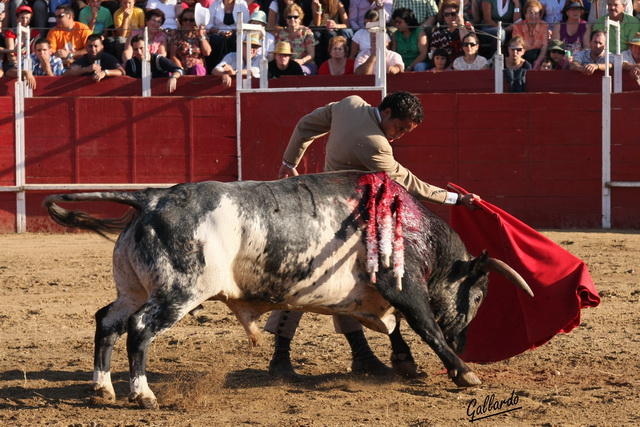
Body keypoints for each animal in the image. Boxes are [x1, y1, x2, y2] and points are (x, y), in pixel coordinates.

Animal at [45, 171, 532, 412]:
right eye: (478, 295)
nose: (465, 343)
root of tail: (150, 199)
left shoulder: (371, 297)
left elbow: (390, 327)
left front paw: (403, 364)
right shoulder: (404, 285)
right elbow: (423, 325)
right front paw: (463, 372)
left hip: (132, 288)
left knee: (108, 321)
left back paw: (102, 388)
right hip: (179, 293)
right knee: (140, 328)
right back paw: (142, 395)